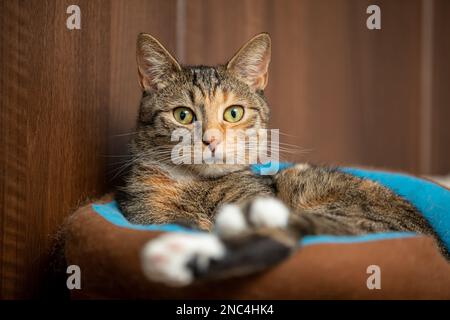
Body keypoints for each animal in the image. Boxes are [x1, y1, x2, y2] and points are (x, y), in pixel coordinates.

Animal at [116, 33, 446, 288]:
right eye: (183, 115)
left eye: (233, 113)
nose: (211, 140)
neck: (197, 185)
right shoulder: (146, 214)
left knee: (287, 233)